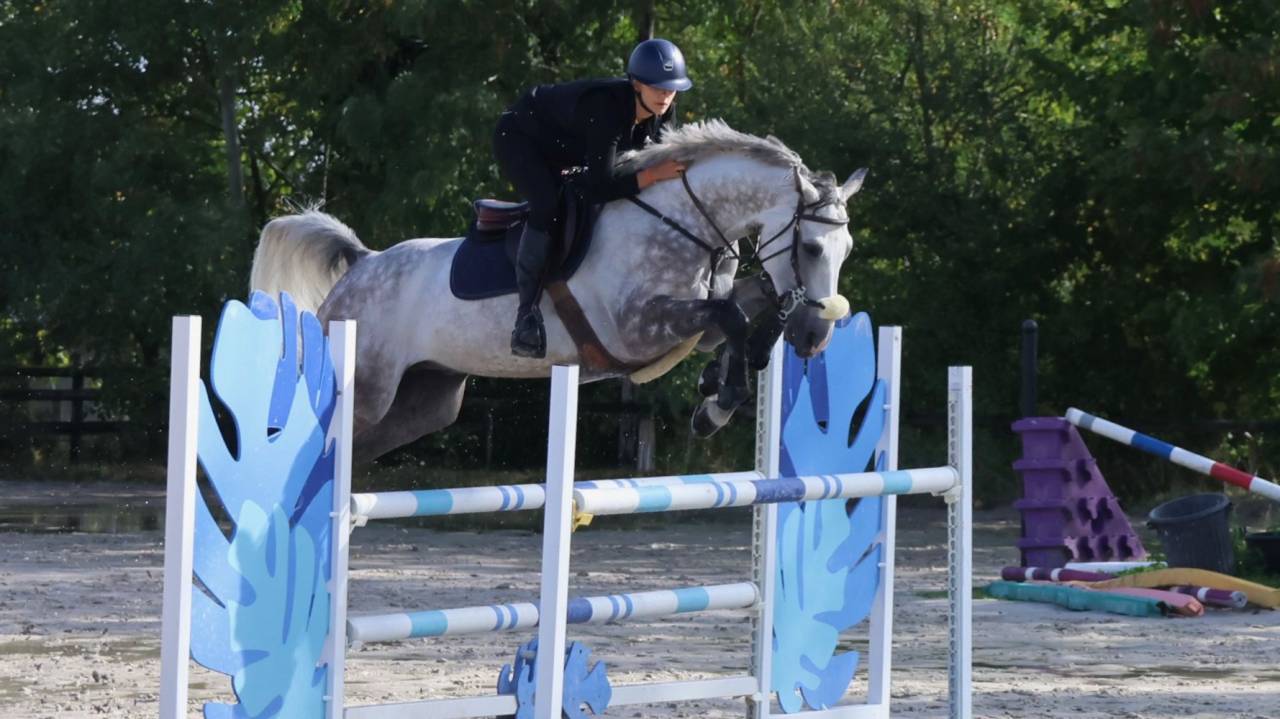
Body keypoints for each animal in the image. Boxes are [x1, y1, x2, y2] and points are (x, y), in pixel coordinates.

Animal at [249, 120, 865, 461]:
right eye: (812, 249)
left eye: (847, 250)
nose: (816, 337)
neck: (680, 219)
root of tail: (362, 264)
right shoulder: (639, 330)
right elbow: (731, 316)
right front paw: (718, 405)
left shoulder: (692, 323)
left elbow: (742, 307)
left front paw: (721, 384)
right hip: (368, 389)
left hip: (425, 402)